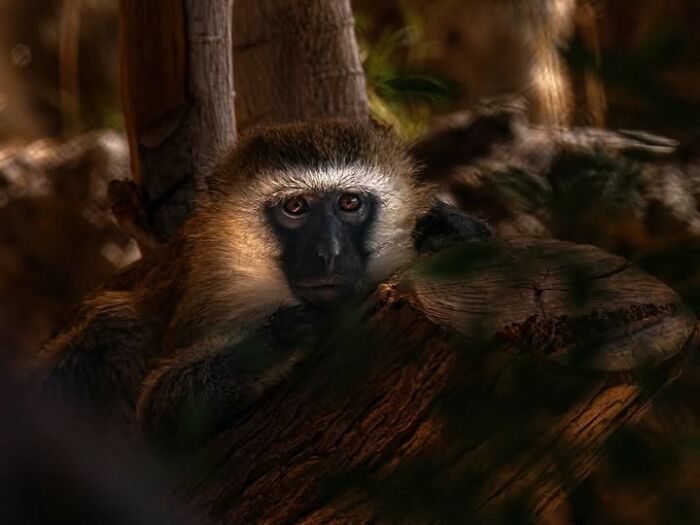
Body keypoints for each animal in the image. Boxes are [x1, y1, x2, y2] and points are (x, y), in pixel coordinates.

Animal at [36, 119, 491, 450]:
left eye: (349, 203)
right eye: (295, 207)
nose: (328, 252)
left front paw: (455, 232)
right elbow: (163, 410)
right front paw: (280, 337)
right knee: (114, 324)